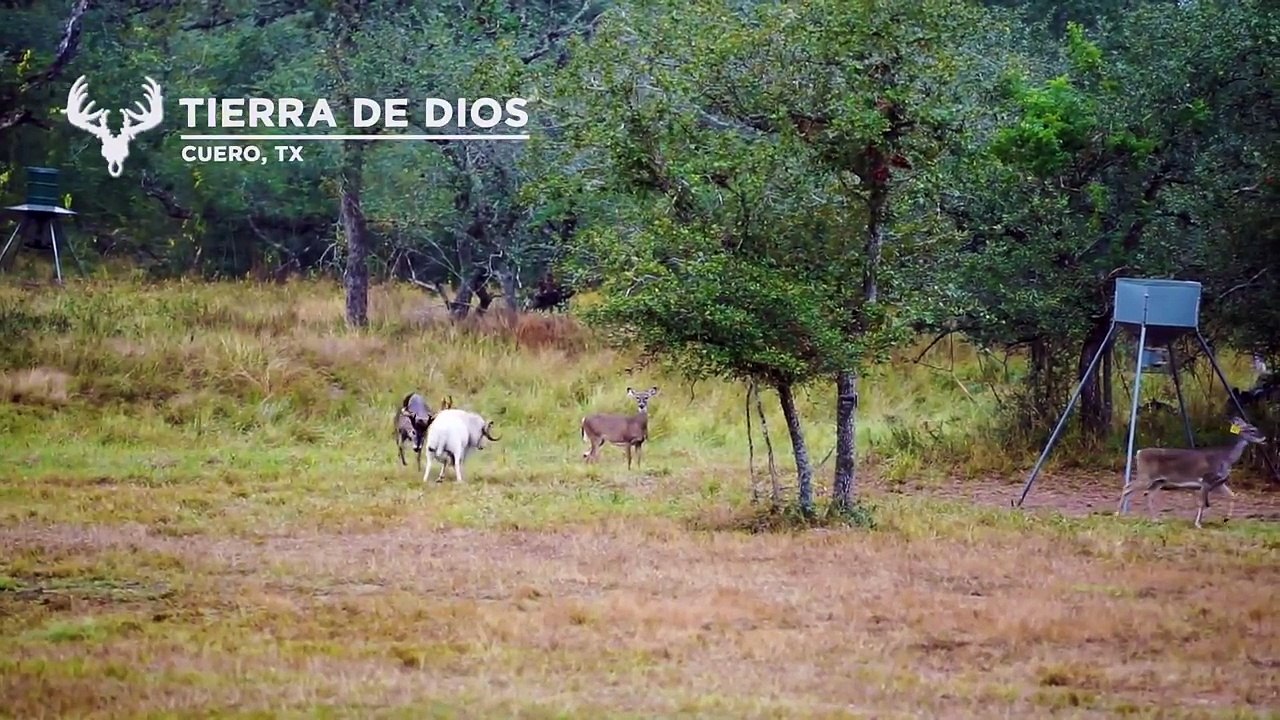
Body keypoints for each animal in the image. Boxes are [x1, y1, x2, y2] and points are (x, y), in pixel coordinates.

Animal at [1121, 417, 1268, 529]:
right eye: (1252, 430)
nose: (1264, 438)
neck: (1226, 458)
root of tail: (1139, 453)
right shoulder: (1206, 479)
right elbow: (1203, 503)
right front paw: (1198, 524)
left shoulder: (1219, 482)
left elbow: (1232, 495)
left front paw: (1226, 519)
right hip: (1145, 476)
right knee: (1127, 487)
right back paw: (1119, 513)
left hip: (1159, 481)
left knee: (1148, 494)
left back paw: (1156, 520)